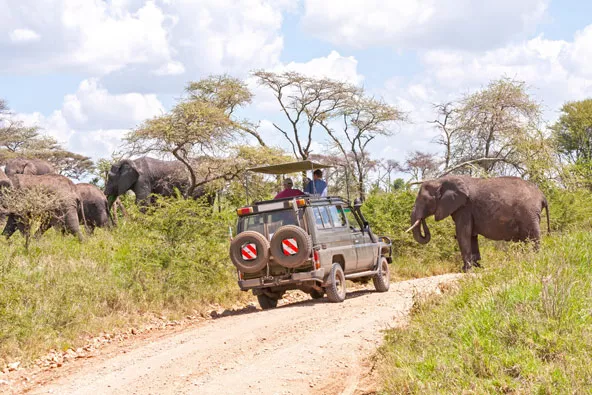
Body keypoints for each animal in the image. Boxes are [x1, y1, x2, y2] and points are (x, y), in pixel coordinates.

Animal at [410, 176, 548, 272]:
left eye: (424, 200)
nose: (422, 219)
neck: (439, 180)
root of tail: (543, 196)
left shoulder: (464, 208)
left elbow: (463, 234)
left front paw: (465, 271)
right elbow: (471, 236)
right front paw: (478, 268)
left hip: (529, 213)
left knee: (534, 237)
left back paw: (535, 260)